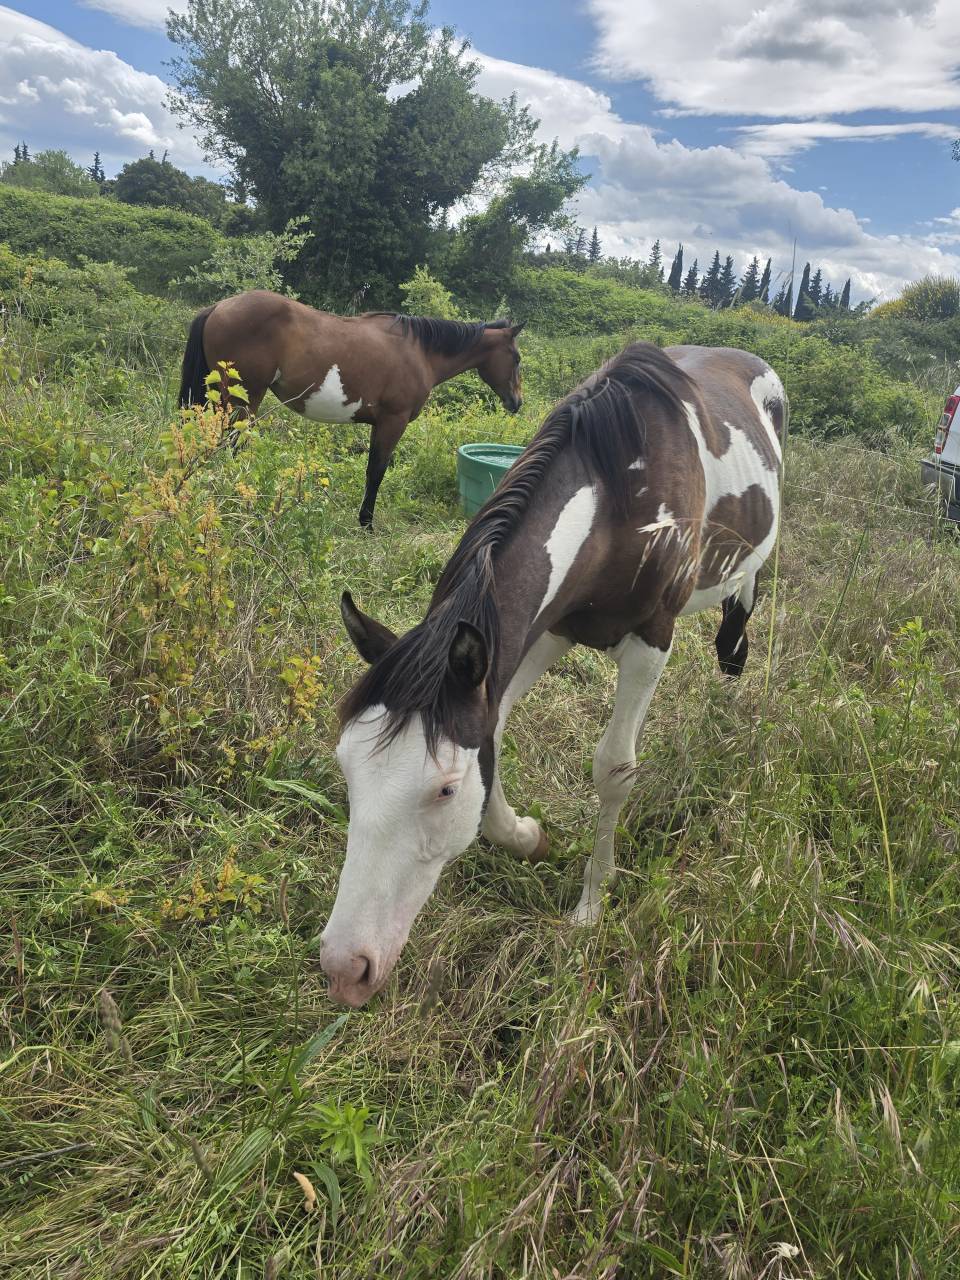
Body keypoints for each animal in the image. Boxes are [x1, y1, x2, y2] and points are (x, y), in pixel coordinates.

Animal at [177, 290, 525, 527]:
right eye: (517, 358)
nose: (517, 401)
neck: (420, 353)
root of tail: (220, 307)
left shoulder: (379, 424)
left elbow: (372, 470)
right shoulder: (393, 422)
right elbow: (377, 472)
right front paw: (366, 522)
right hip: (242, 399)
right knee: (231, 446)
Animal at [321, 341, 786, 1007]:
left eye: (445, 790)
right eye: (346, 768)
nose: (344, 967)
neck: (618, 497)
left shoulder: (651, 640)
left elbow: (614, 770)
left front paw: (592, 904)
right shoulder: (545, 633)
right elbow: (494, 735)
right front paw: (531, 837)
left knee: (743, 598)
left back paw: (731, 670)